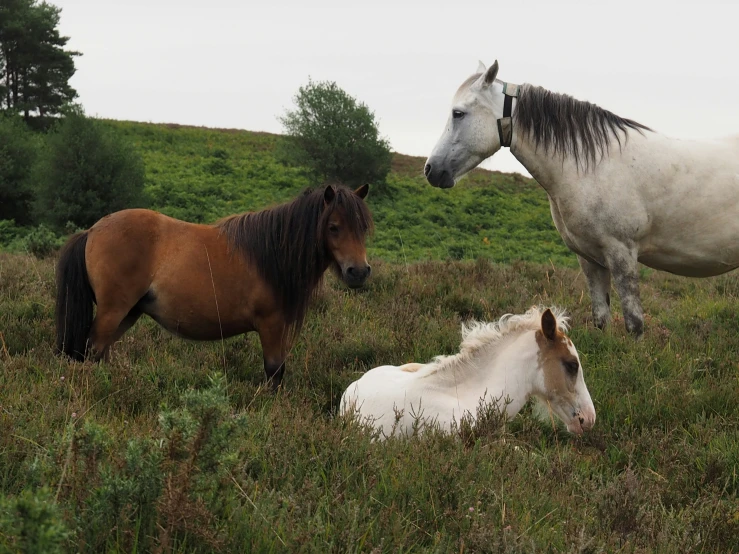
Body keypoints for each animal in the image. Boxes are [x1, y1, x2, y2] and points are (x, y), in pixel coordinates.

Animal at [55, 183, 372, 386]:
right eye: (333, 227)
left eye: (363, 227)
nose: (358, 272)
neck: (272, 254)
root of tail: (92, 230)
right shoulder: (271, 324)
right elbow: (274, 372)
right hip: (113, 311)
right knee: (92, 349)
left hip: (128, 313)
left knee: (99, 352)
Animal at [424, 61, 739, 336]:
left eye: (458, 113)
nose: (431, 170)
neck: (594, 166)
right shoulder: (590, 259)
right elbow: (601, 319)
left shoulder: (622, 253)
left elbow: (634, 323)